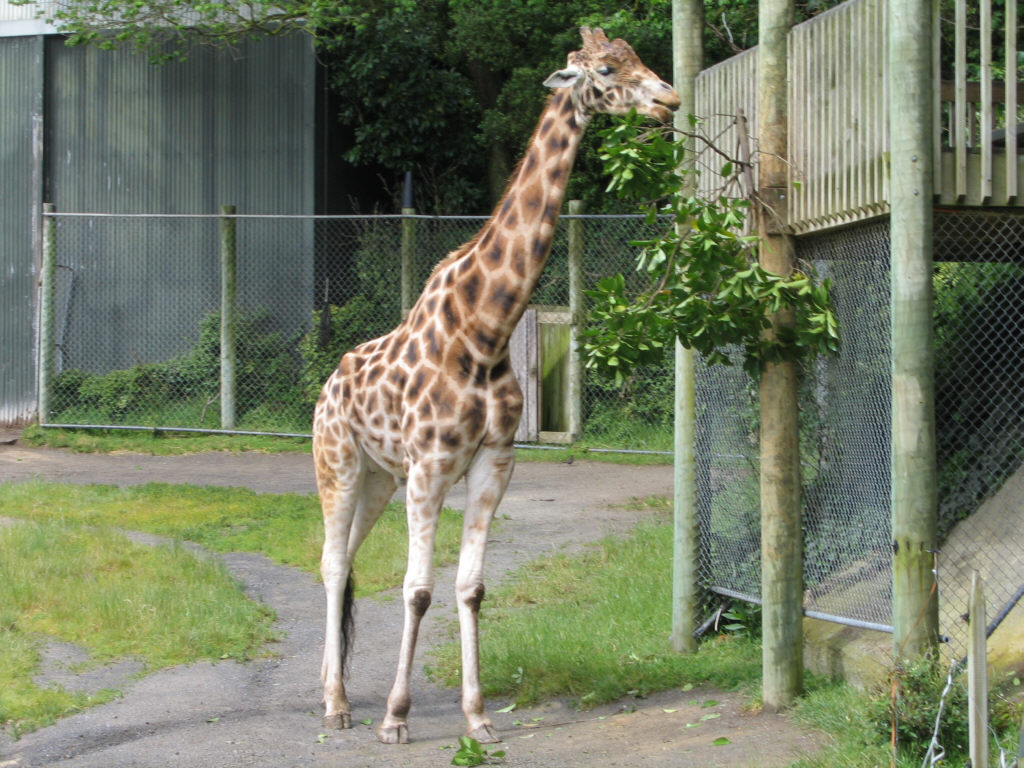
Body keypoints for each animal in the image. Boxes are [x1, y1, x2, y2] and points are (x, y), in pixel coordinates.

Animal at [313, 26, 679, 745]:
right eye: (605, 69)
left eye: (636, 57)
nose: (669, 99)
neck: (486, 330)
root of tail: (325, 387)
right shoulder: (430, 466)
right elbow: (417, 588)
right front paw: (396, 718)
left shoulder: (494, 461)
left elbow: (470, 587)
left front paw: (479, 717)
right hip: (335, 463)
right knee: (333, 563)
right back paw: (338, 705)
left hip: (376, 477)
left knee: (345, 560)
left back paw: (329, 691)